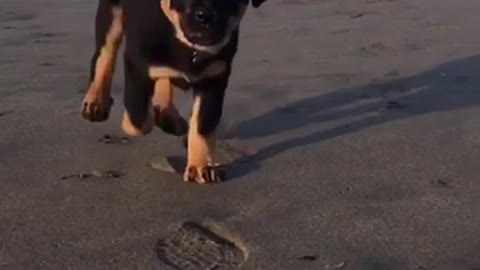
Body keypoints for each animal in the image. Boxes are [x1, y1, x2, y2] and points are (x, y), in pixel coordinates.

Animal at [80, 0, 268, 184]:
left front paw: (201, 165)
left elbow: (202, 124)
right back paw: (96, 102)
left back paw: (167, 114)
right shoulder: (137, 64)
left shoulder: (214, 77)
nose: (205, 16)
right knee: (105, 53)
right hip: (113, 12)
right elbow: (138, 118)